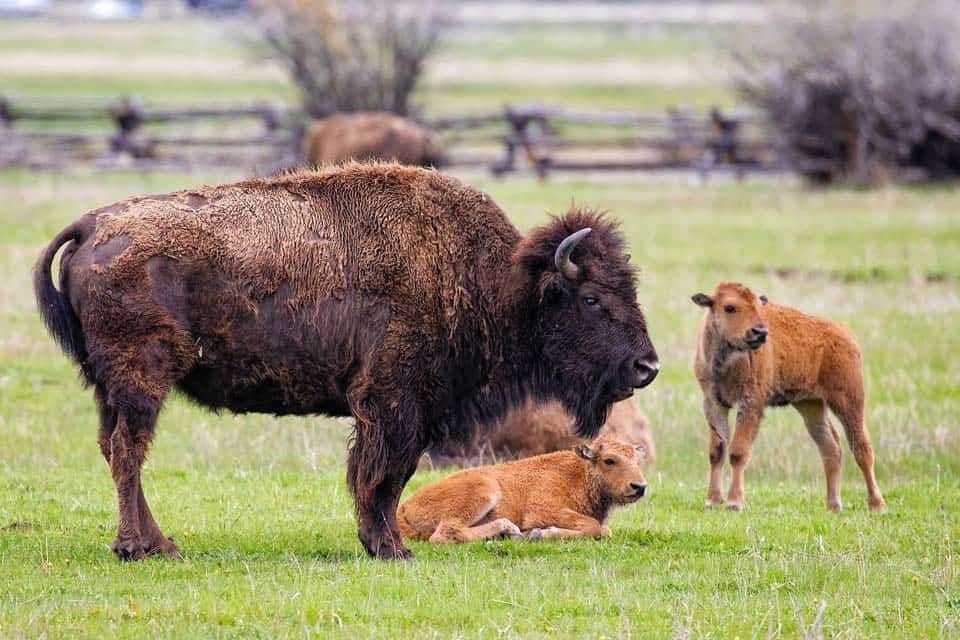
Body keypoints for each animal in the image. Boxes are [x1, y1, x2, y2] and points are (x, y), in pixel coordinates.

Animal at [394, 432, 648, 544]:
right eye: (609, 460)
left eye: (637, 460)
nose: (639, 486)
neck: (579, 473)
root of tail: (403, 508)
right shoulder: (542, 510)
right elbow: (593, 526)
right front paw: (537, 533)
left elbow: (604, 529)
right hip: (484, 490)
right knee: (445, 534)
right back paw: (507, 529)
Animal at [688, 282, 884, 512]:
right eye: (729, 307)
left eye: (758, 305)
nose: (760, 332)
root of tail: (846, 334)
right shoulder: (714, 403)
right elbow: (717, 452)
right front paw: (711, 501)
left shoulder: (751, 404)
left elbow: (738, 452)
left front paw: (734, 503)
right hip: (811, 405)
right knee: (831, 447)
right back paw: (833, 505)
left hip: (849, 401)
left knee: (861, 447)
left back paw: (876, 504)